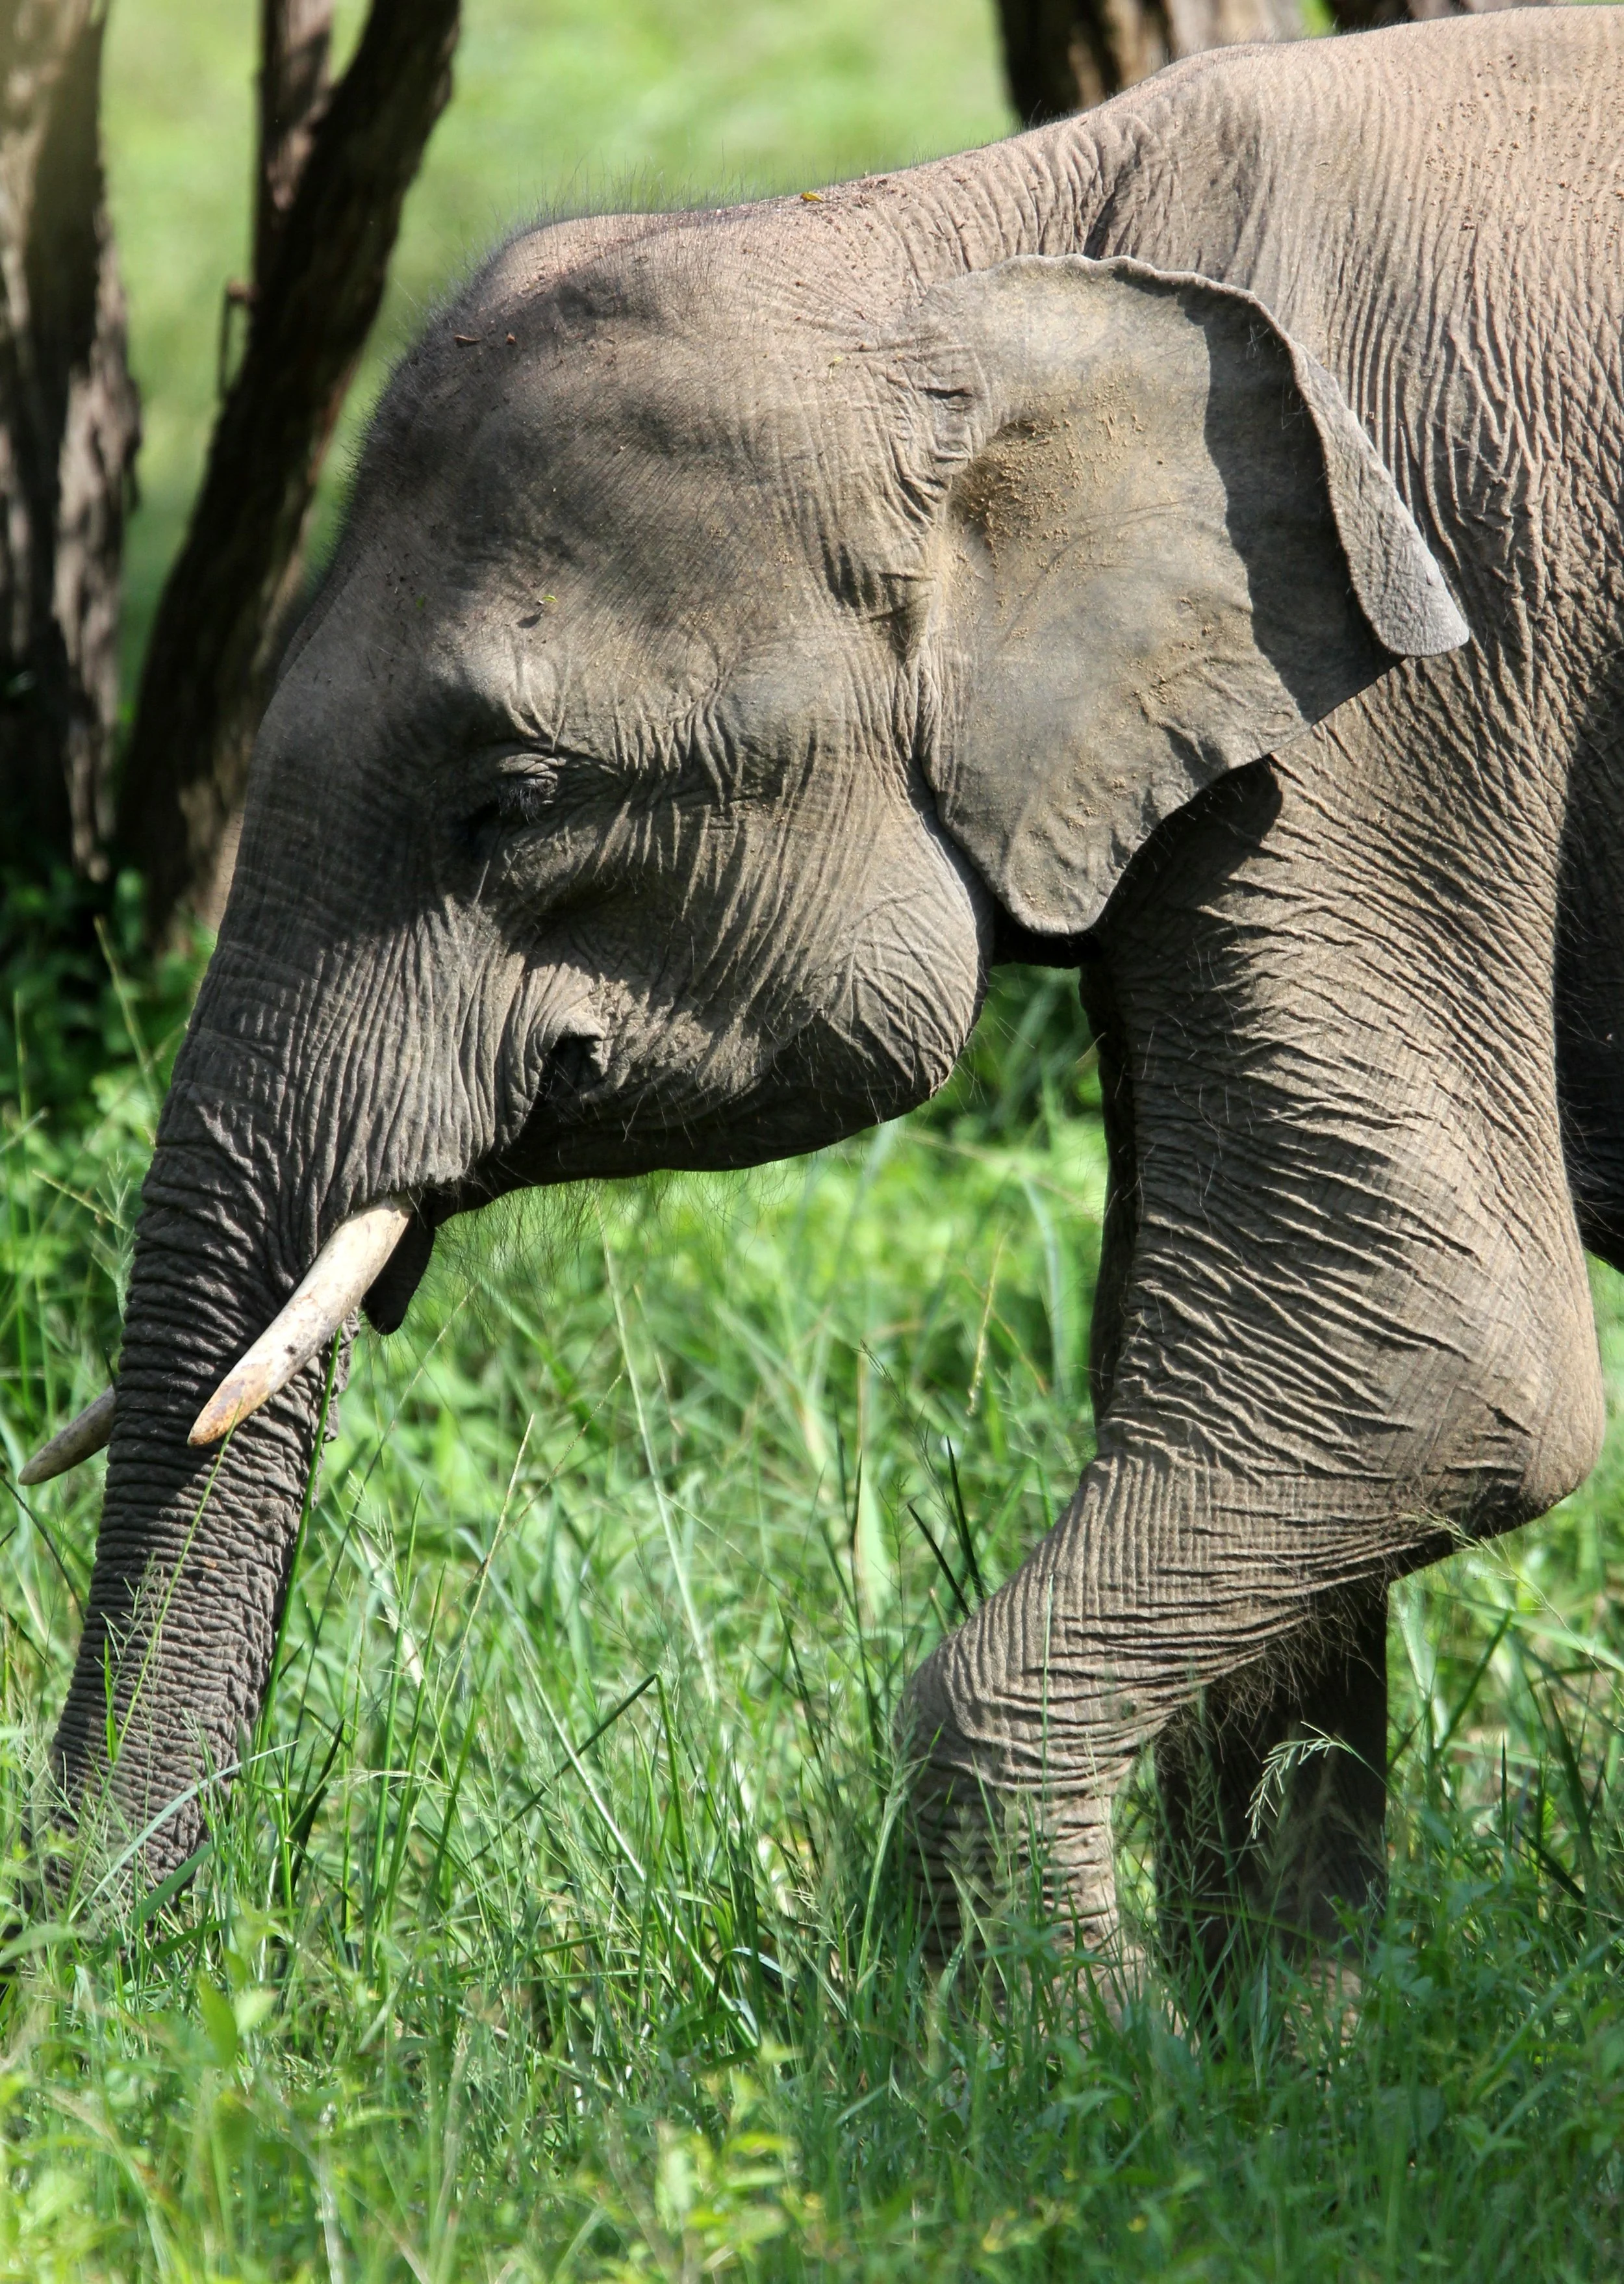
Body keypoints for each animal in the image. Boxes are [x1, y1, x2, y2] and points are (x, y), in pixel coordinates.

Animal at [31, 8, 1624, 1966]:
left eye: (517, 800)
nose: (105, 1974)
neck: (958, 248)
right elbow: (1240, 1344)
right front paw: (1272, 2034)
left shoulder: (1408, 707)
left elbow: (1422, 1350)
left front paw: (1065, 2032)